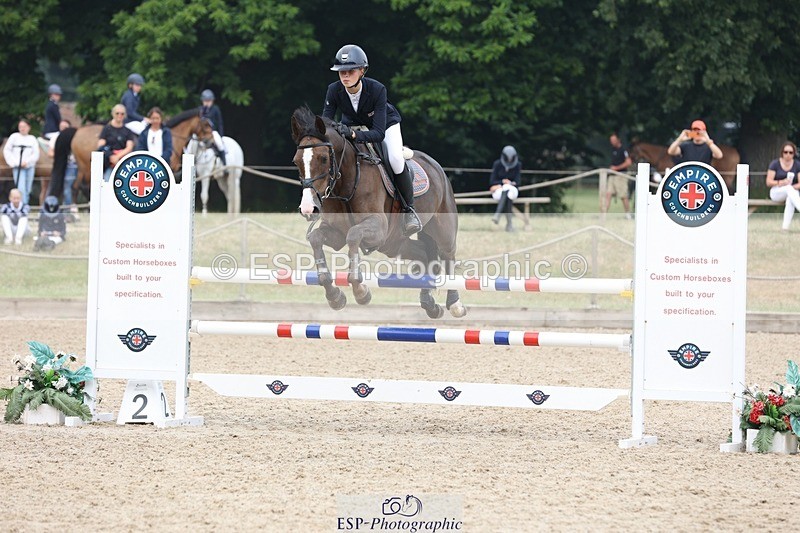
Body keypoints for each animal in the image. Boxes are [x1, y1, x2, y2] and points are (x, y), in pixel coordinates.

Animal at [290, 106, 466, 319]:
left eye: (323, 158)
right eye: (296, 162)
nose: (308, 208)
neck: (346, 183)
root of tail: (436, 166)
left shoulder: (377, 227)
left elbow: (353, 235)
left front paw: (360, 291)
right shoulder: (336, 232)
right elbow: (316, 238)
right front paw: (335, 296)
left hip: (440, 229)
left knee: (448, 255)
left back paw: (455, 303)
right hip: (393, 242)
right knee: (425, 254)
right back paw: (430, 304)